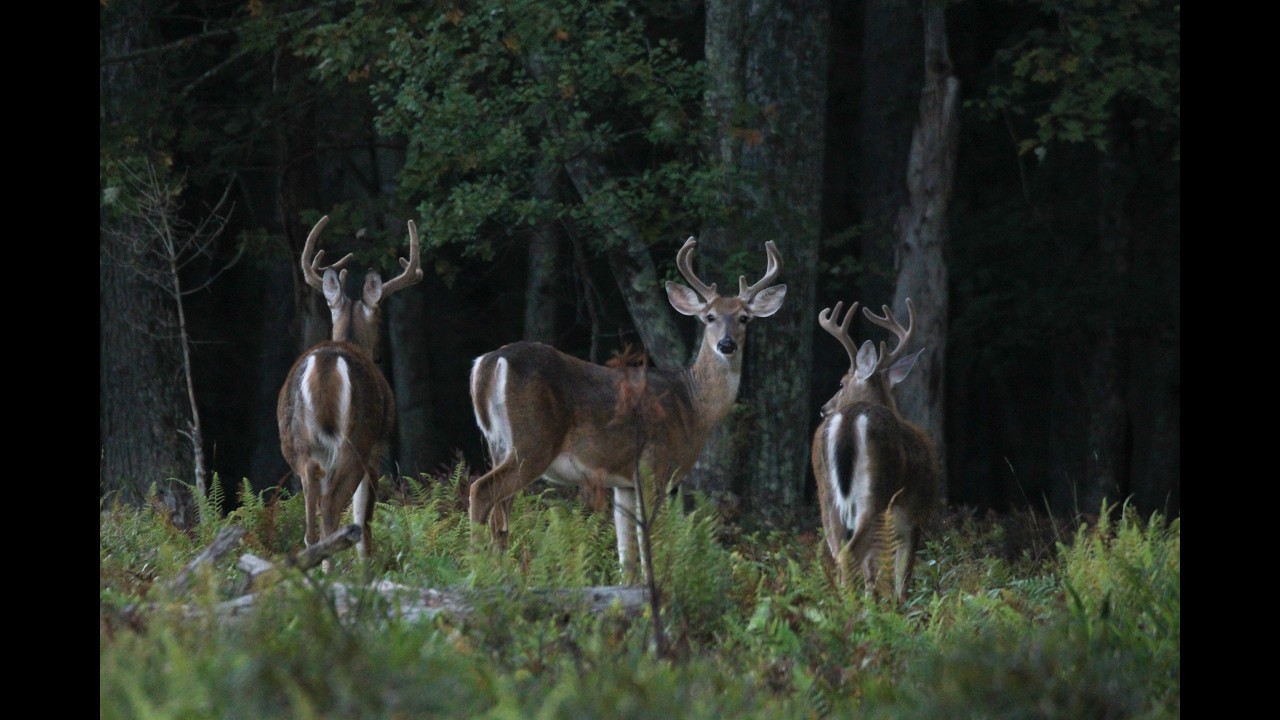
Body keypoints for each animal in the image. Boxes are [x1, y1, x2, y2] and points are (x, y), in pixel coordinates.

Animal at [277, 215, 423, 565]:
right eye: (381, 318)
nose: (380, 354)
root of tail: (325, 363)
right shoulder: (378, 447)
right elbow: (364, 517)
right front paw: (367, 566)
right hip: (356, 437)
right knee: (332, 509)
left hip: (298, 445)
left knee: (311, 523)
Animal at [468, 237, 786, 582]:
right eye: (710, 317)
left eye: (744, 318)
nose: (727, 345)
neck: (693, 405)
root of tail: (489, 361)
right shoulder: (655, 465)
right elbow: (651, 542)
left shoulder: (623, 482)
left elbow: (627, 553)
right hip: (533, 441)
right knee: (481, 491)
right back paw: (476, 569)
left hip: (497, 443)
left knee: (500, 514)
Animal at [811, 298, 938, 602]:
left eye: (841, 383)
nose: (823, 408)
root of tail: (847, 419)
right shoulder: (913, 518)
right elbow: (901, 575)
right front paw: (897, 606)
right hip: (877, 492)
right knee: (850, 554)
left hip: (826, 496)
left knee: (838, 552)